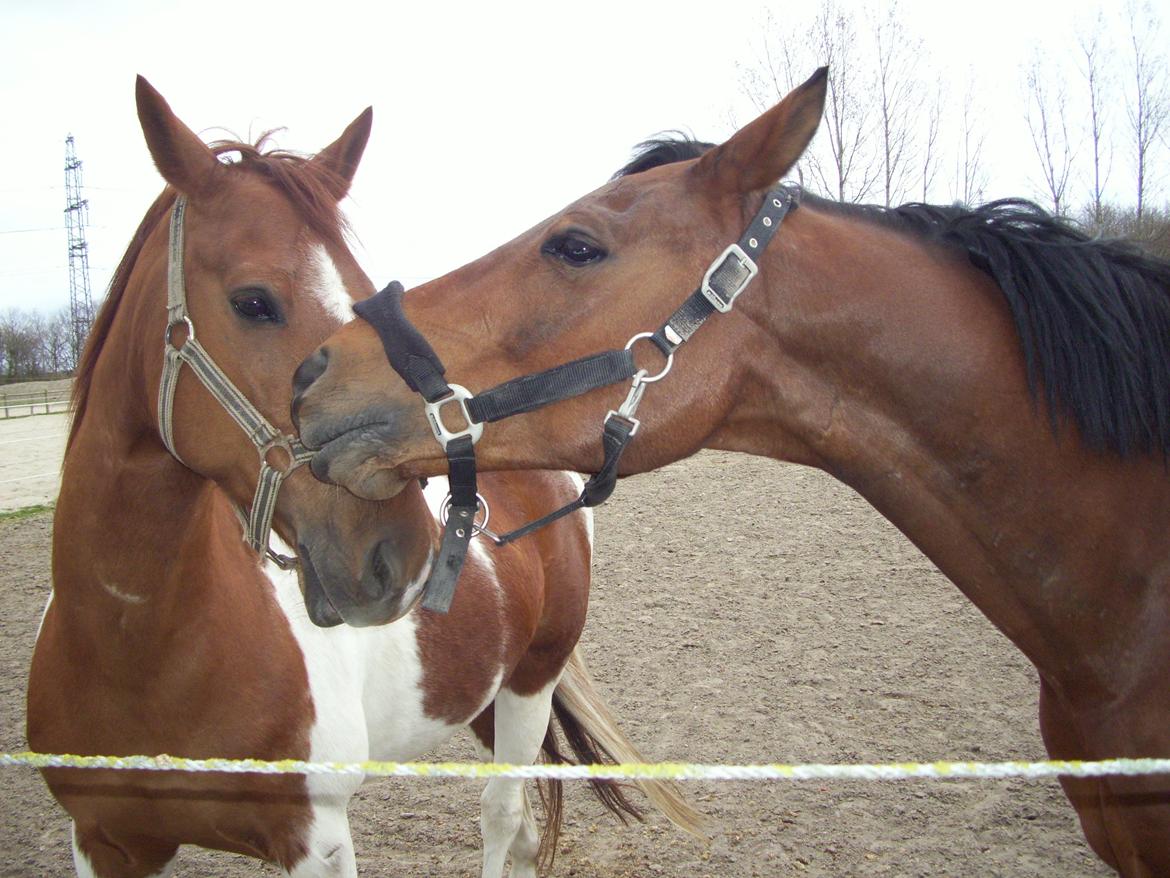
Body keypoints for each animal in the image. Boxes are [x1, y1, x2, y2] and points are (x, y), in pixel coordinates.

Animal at [27, 79, 697, 875]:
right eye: (253, 301)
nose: (397, 555)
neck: (140, 652)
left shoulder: (314, 839)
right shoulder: (105, 840)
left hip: (530, 683)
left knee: (502, 817)